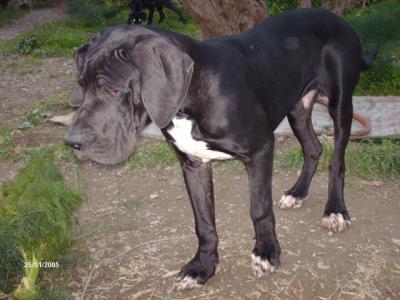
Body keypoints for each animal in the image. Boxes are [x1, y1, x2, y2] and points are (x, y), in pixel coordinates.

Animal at [65, 9, 376, 290]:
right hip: (297, 107)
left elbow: (259, 209)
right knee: (313, 148)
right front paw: (203, 267)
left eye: (113, 91)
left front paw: (267, 253)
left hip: (340, 104)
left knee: (337, 160)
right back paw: (297, 193)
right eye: (81, 85)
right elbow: (203, 222)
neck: (191, 97)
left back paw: (335, 210)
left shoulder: (260, 150)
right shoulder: (193, 163)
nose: (72, 142)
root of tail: (338, 19)